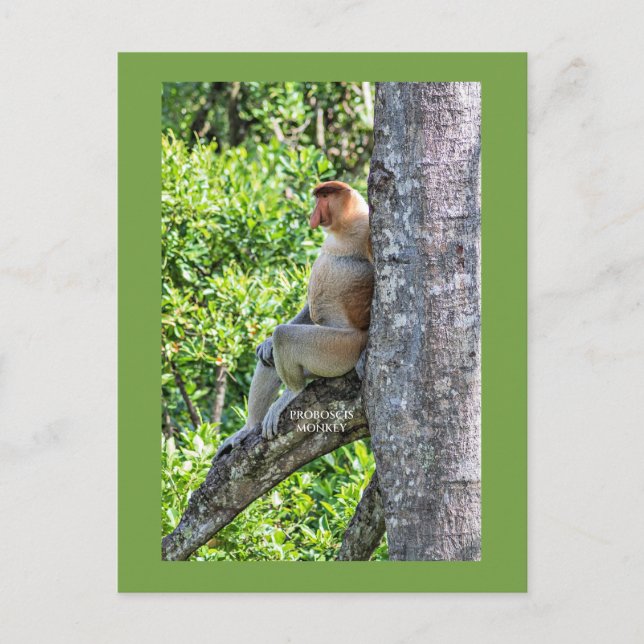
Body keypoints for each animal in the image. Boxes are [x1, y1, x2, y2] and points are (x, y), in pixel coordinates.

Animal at [215, 180, 373, 458]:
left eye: (324, 196)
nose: (313, 215)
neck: (344, 227)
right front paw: (265, 344)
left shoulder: (368, 230)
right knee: (270, 359)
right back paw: (249, 427)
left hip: (339, 349)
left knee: (284, 337)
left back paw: (291, 393)